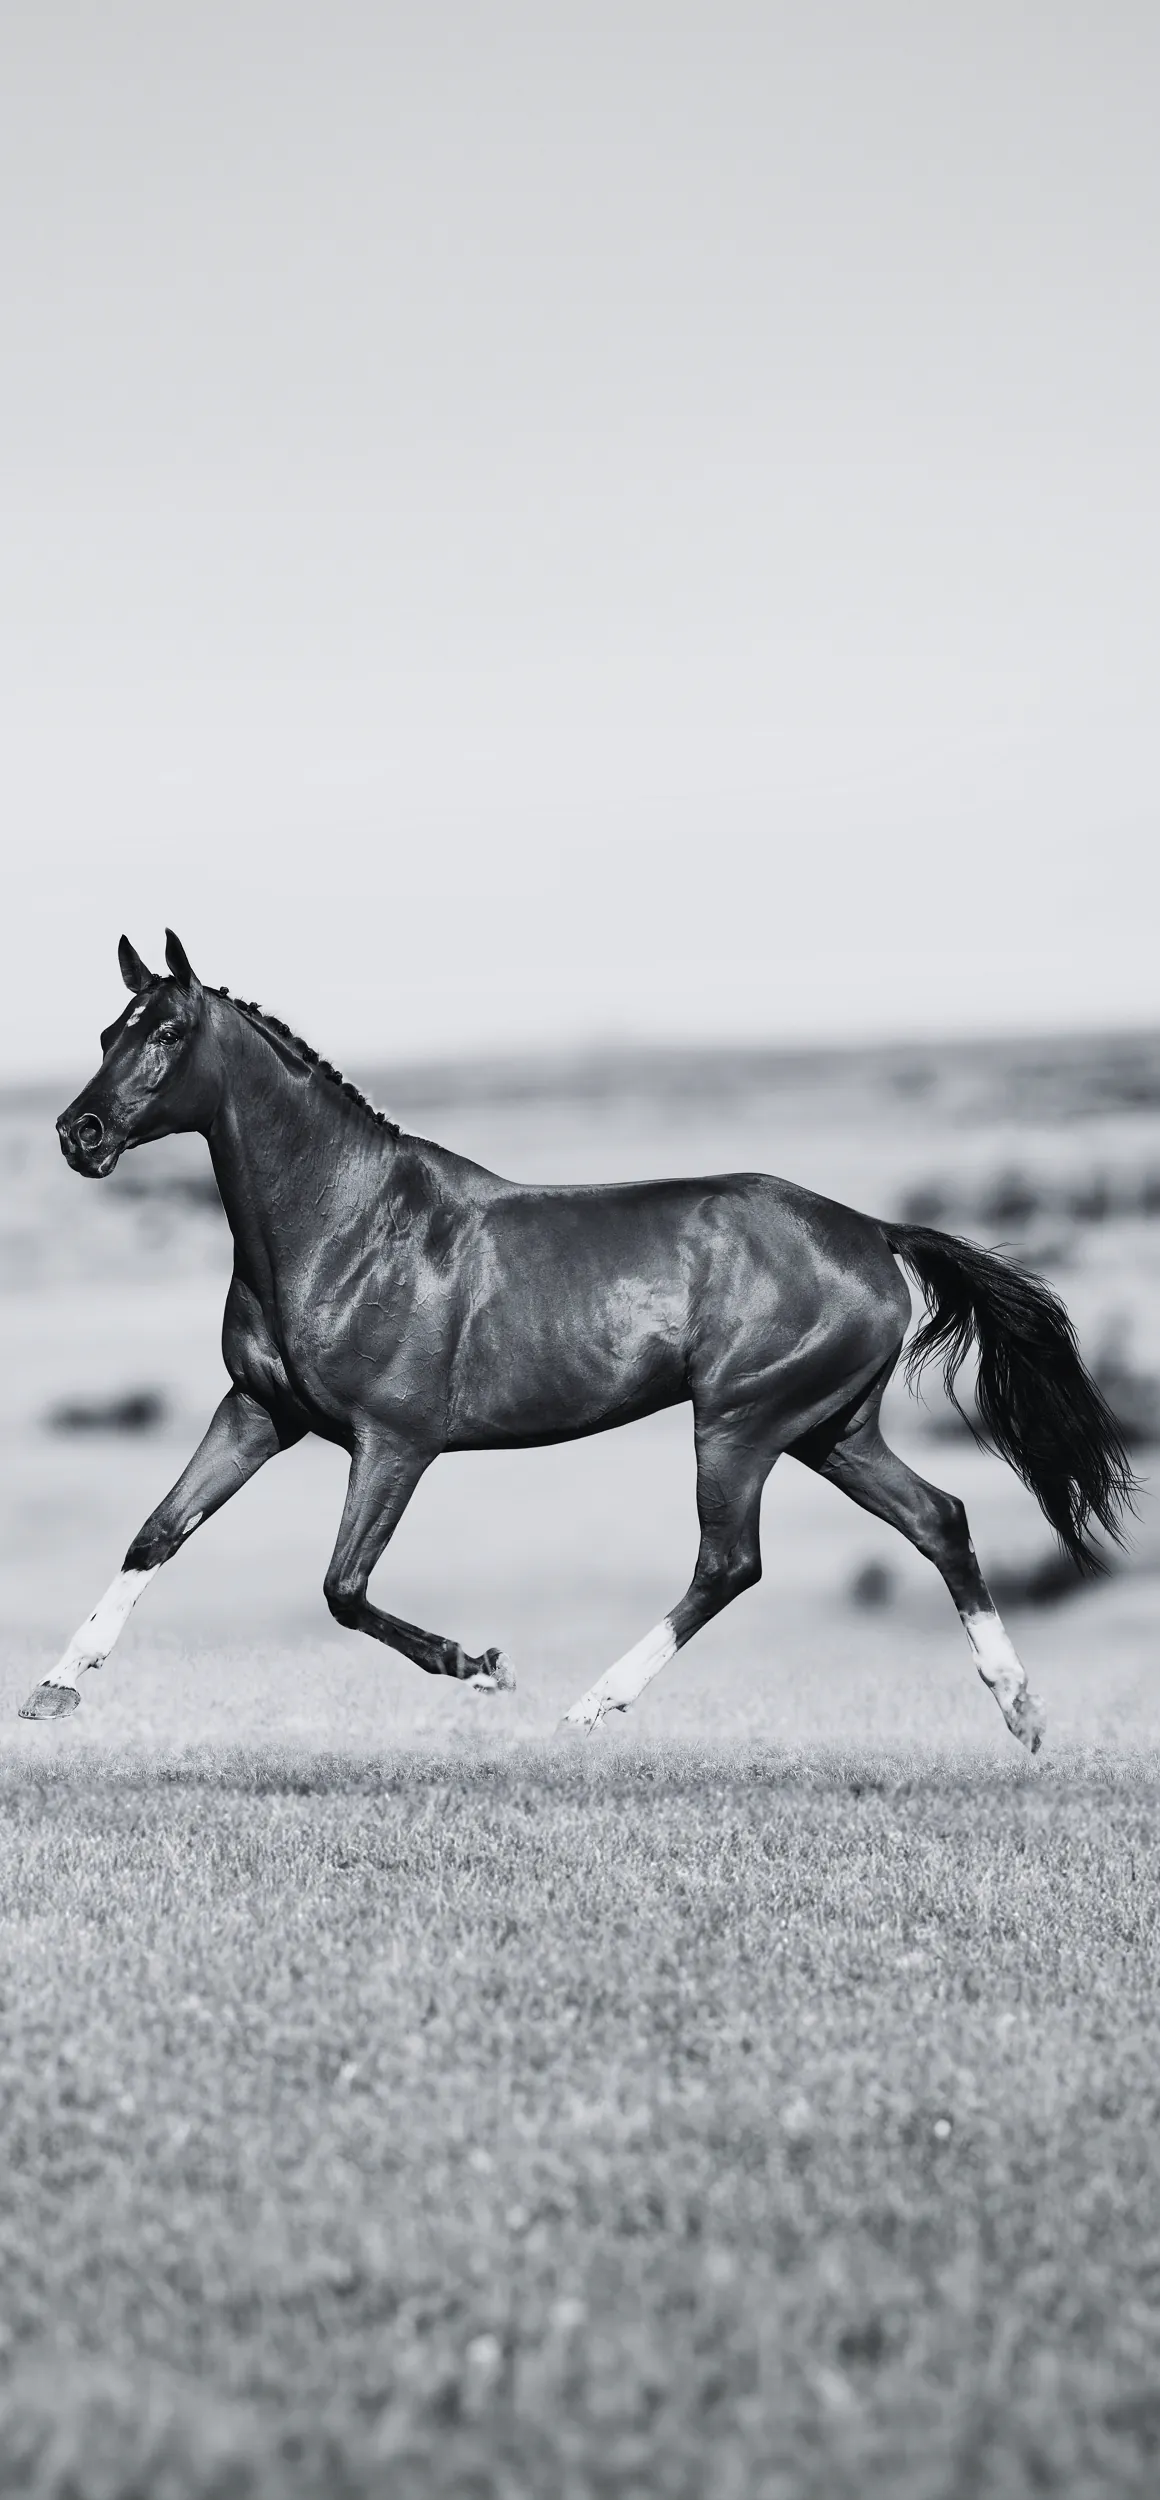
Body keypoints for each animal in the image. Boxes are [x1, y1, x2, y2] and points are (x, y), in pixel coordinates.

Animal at [22, 929, 1134, 1747]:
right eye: (107, 1030)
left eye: (166, 1031)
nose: (78, 1137)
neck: (341, 1227)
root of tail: (870, 1230)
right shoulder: (257, 1411)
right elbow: (156, 1533)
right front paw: (54, 1689)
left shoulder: (394, 1442)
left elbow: (342, 1587)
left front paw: (480, 1667)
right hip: (830, 1429)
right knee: (937, 1519)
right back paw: (1020, 1713)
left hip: (739, 1423)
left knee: (729, 1563)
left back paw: (586, 1708)